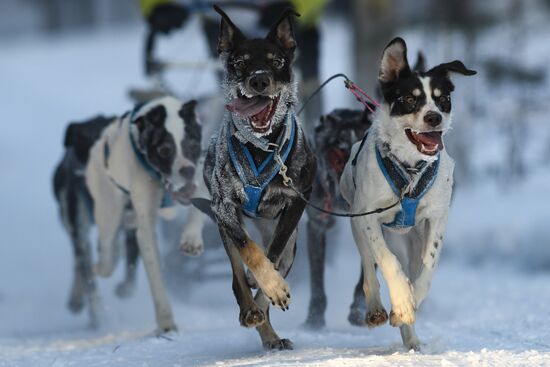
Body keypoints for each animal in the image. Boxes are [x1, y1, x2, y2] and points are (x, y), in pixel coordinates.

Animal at [86, 96, 207, 334]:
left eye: (193, 145)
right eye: (165, 150)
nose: (186, 170)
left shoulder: (202, 175)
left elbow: (200, 205)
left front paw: (191, 239)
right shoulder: (146, 229)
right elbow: (156, 278)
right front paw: (166, 321)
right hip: (108, 209)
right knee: (105, 253)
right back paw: (104, 261)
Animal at [203, 5, 316, 350]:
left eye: (276, 60)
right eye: (240, 62)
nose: (259, 80)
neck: (261, 146)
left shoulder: (296, 200)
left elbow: (274, 254)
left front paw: (273, 287)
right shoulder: (224, 208)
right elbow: (250, 251)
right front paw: (267, 285)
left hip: (292, 244)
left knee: (276, 260)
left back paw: (270, 330)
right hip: (224, 227)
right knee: (237, 276)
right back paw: (252, 312)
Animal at [340, 38, 478, 350]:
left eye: (442, 98)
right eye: (410, 99)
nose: (434, 117)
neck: (411, 169)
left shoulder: (437, 218)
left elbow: (426, 272)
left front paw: (407, 306)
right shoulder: (369, 215)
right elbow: (386, 261)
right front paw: (401, 301)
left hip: (412, 239)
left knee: (411, 268)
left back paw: (410, 335)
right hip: (357, 222)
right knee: (369, 268)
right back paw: (377, 308)